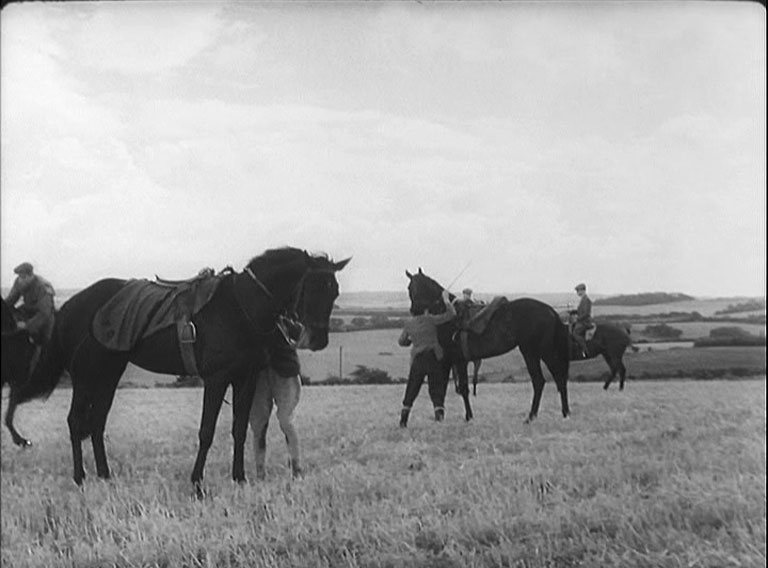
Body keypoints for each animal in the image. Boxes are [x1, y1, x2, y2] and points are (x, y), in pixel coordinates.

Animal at [11, 248, 349, 495]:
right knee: (75, 421)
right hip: (85, 375)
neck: (239, 307)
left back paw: (105, 476)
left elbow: (239, 429)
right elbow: (206, 431)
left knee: (96, 423)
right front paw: (197, 483)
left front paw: (240, 478)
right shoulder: (216, 379)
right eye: (313, 287)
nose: (319, 340)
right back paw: (80, 478)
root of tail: (72, 304)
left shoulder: (245, 378)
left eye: (334, 291)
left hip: (108, 374)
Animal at [406, 269, 571, 423]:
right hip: (533, 352)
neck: (448, 317)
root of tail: (550, 310)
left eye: (415, 287)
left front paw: (468, 417)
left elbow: (463, 389)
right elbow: (442, 389)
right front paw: (441, 416)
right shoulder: (447, 362)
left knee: (551, 378)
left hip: (538, 351)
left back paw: (545, 415)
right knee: (545, 380)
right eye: (409, 288)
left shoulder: (459, 361)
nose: (413, 311)